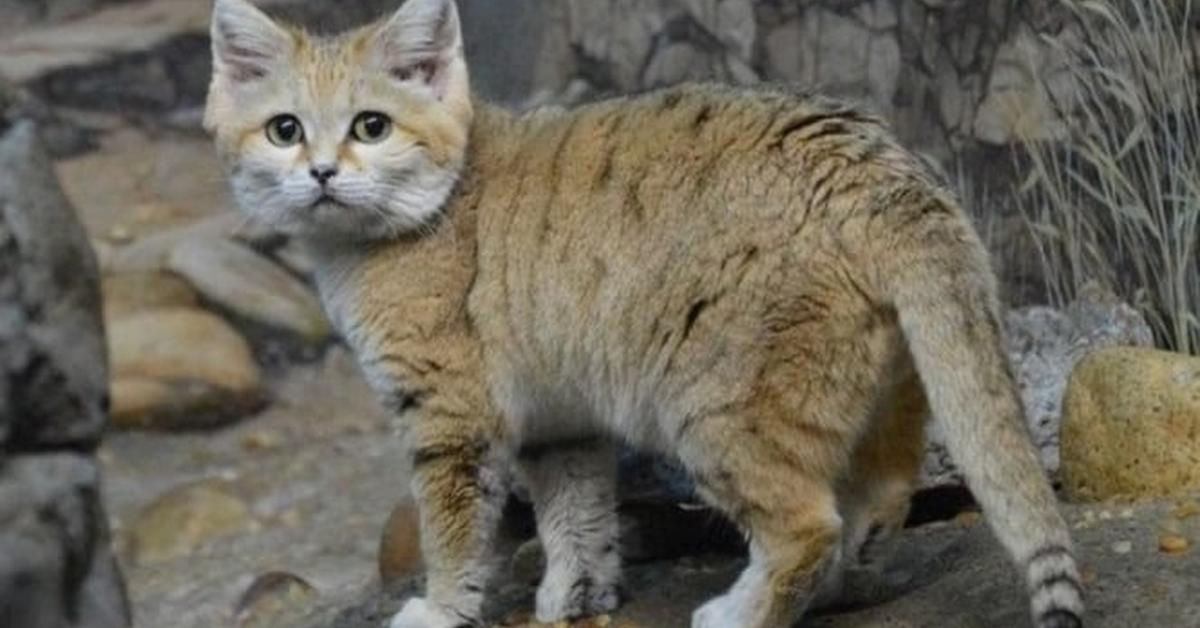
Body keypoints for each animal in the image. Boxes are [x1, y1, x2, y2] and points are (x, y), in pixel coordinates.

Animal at [201, 0, 1084, 624]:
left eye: (372, 126)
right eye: (284, 130)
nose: (319, 172)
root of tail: (878, 167)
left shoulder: (449, 418)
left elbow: (454, 534)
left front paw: (443, 610)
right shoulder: (560, 420)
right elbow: (576, 513)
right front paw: (578, 592)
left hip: (713, 410)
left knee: (807, 524)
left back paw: (744, 612)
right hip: (882, 384)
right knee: (879, 501)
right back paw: (835, 591)